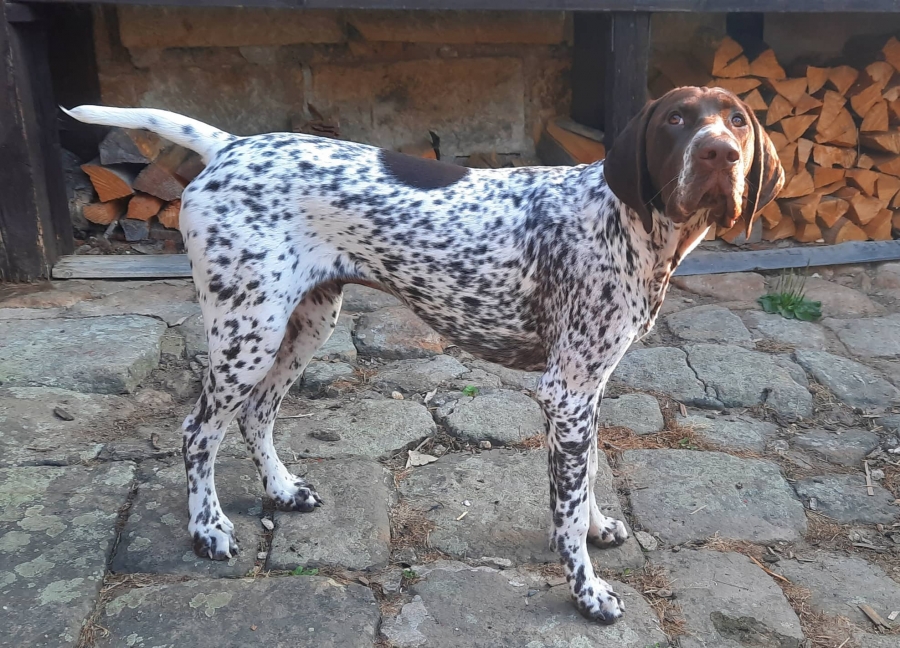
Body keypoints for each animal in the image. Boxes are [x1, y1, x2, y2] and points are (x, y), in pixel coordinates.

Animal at [66, 86, 783, 624]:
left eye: (737, 121)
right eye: (675, 120)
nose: (719, 153)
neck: (626, 225)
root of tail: (230, 146)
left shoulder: (588, 391)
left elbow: (585, 485)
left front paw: (599, 523)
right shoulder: (567, 392)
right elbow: (567, 509)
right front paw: (588, 592)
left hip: (307, 321)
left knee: (255, 415)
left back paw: (282, 489)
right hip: (250, 329)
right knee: (198, 431)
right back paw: (207, 528)